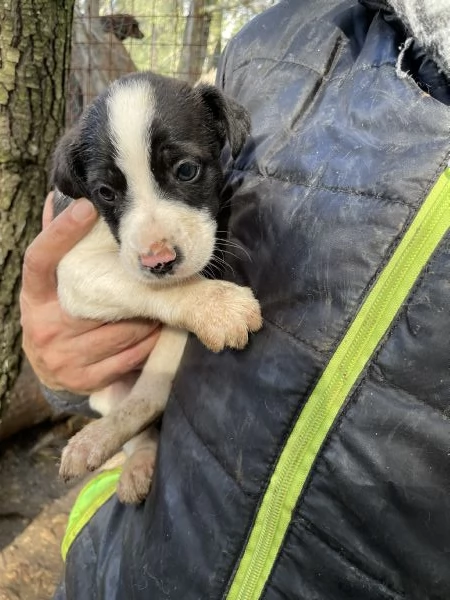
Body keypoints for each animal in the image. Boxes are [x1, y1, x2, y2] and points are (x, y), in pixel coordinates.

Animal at [52, 69, 262, 502]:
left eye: (186, 171)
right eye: (105, 193)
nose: (159, 261)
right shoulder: (74, 269)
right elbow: (146, 285)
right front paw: (217, 305)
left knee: (149, 398)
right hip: (107, 392)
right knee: (137, 414)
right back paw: (105, 446)